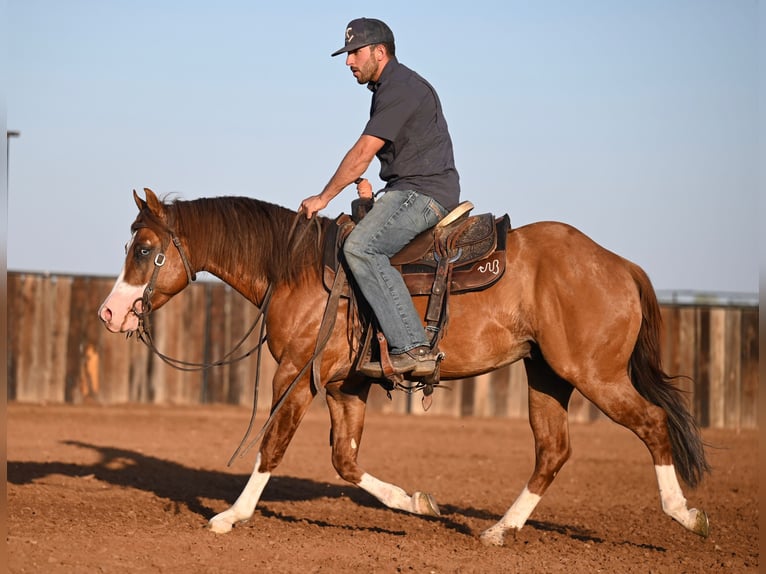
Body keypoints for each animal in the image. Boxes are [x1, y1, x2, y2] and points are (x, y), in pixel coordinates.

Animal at [99, 190, 712, 548]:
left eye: (144, 248)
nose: (110, 312)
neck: (296, 268)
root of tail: (619, 264)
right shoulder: (345, 385)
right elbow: (345, 461)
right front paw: (416, 502)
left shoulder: (296, 375)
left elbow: (272, 445)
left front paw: (231, 516)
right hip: (548, 375)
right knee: (552, 451)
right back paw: (500, 529)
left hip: (594, 374)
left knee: (653, 424)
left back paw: (685, 515)